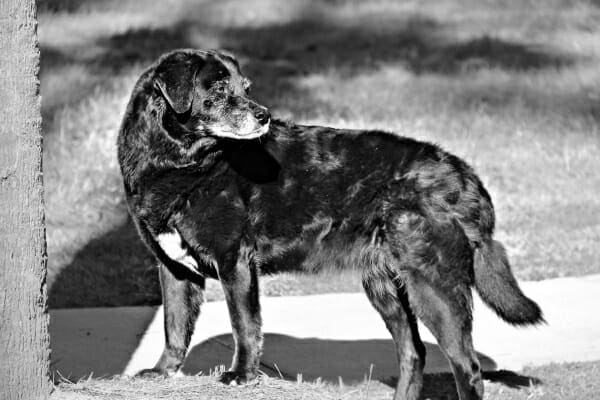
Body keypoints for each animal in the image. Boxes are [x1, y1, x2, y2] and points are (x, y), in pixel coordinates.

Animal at [117, 50, 544, 400]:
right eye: (220, 88)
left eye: (245, 87)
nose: (263, 115)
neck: (179, 165)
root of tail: (463, 175)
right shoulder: (174, 268)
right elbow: (174, 327)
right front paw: (160, 372)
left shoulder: (234, 259)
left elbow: (244, 324)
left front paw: (241, 376)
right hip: (385, 286)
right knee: (414, 353)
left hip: (433, 283)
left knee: (466, 366)